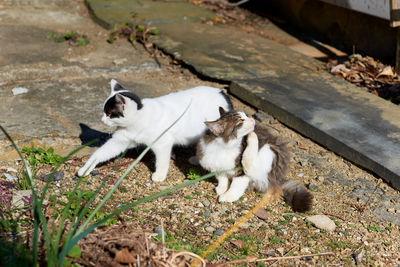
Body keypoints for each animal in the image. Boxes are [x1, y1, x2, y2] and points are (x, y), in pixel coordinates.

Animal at [78, 79, 233, 182]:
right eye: (104, 112)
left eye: (109, 114)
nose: (102, 120)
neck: (139, 119)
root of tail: (221, 91)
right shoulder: (120, 141)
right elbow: (100, 154)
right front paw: (86, 167)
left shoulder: (163, 143)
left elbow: (162, 161)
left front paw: (159, 175)